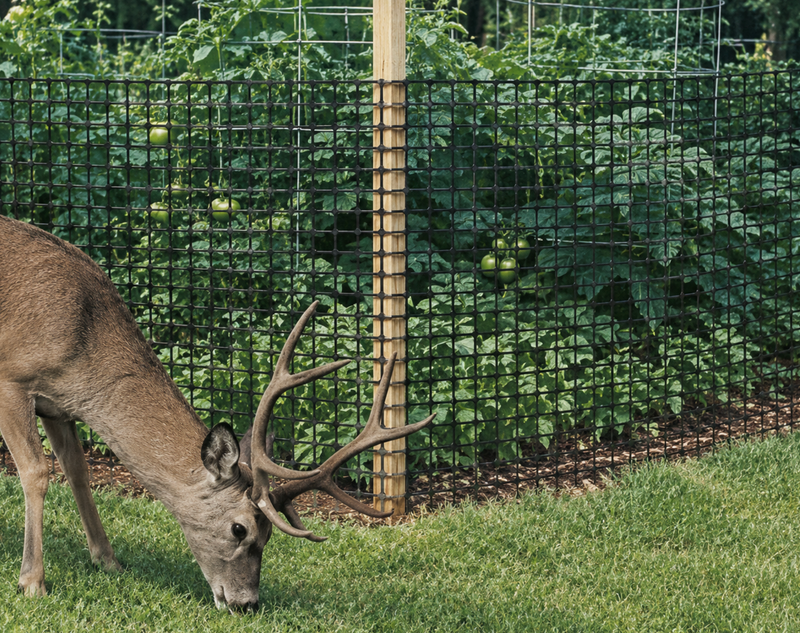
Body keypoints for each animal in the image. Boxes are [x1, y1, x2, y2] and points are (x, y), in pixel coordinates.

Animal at [0, 213, 434, 611]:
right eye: (240, 529)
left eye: (269, 535)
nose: (247, 603)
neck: (81, 345)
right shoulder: (13, 378)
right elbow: (37, 472)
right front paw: (32, 582)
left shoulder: (57, 406)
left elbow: (78, 471)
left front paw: (108, 561)